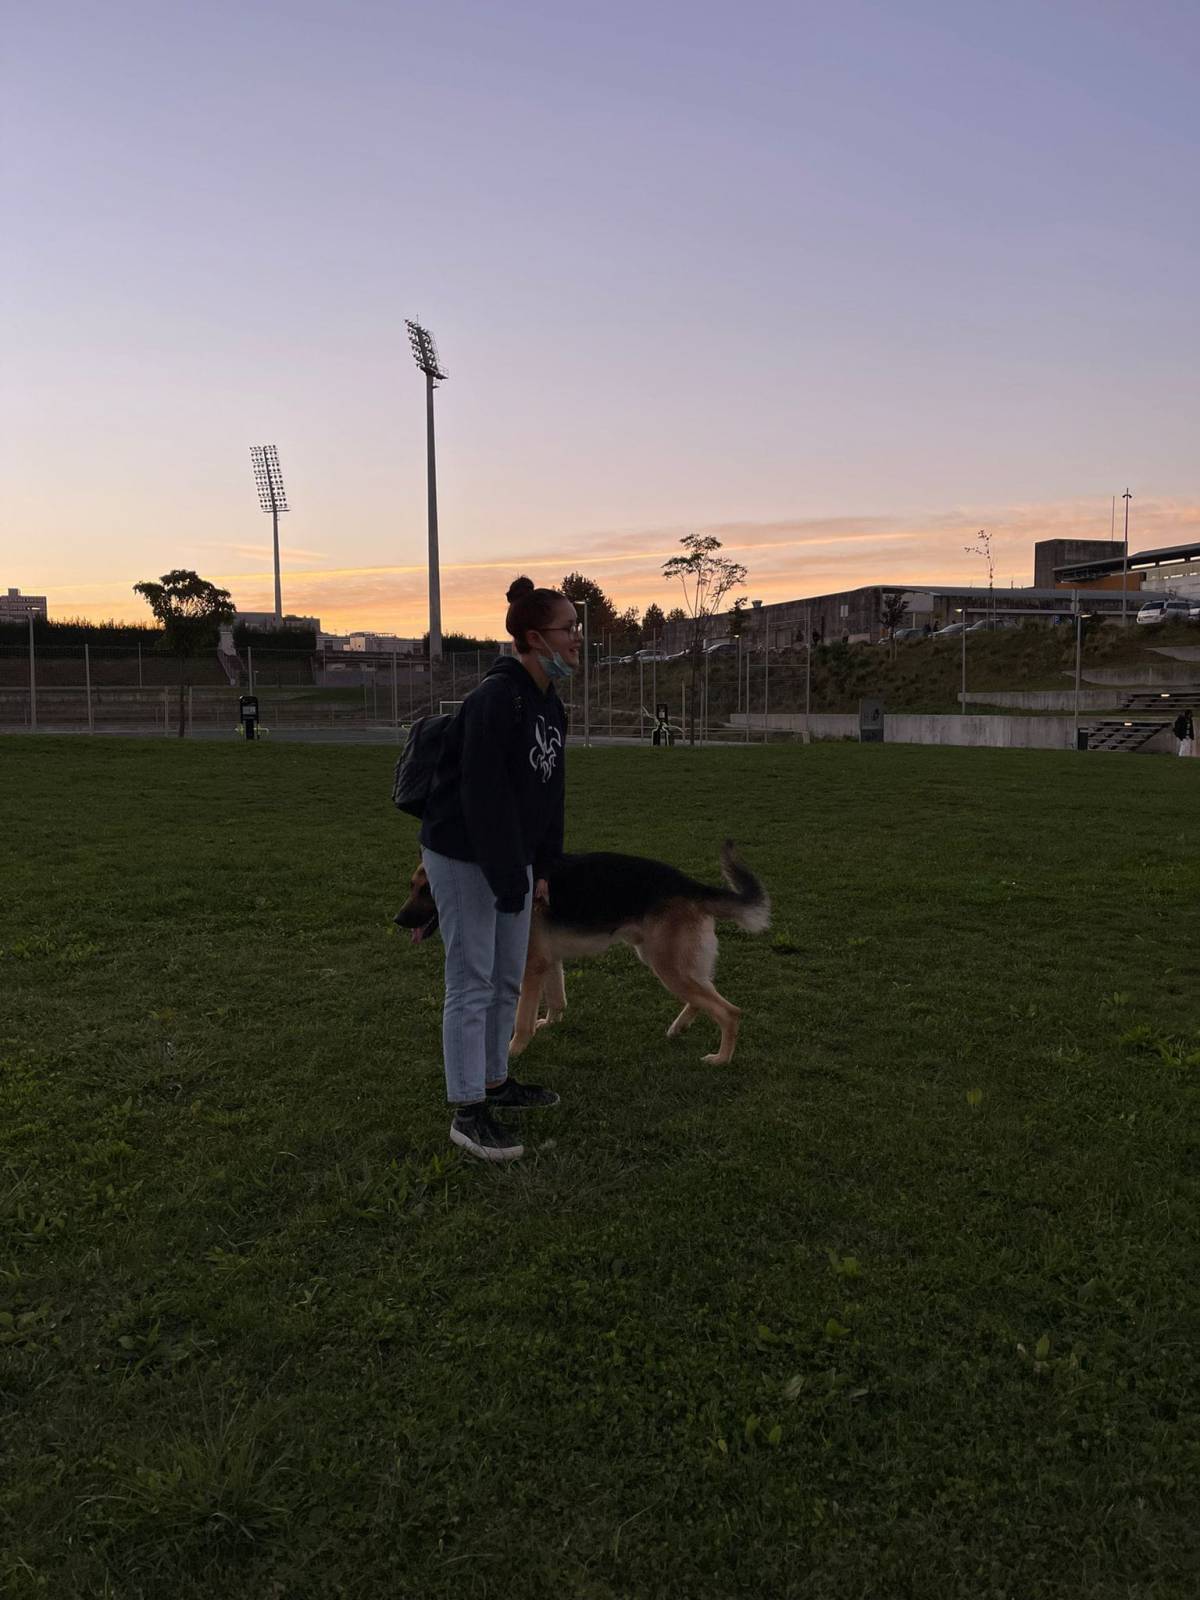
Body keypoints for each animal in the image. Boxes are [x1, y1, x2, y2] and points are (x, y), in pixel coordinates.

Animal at [395, 851, 771, 1062]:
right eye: (411, 887)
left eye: (428, 891)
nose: (398, 920)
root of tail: (691, 885)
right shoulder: (548, 962)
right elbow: (556, 998)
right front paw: (550, 1023)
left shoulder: (531, 967)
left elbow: (521, 1019)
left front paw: (514, 1051)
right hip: (668, 962)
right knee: (703, 996)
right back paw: (679, 1028)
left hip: (667, 966)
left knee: (729, 1011)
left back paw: (721, 1059)